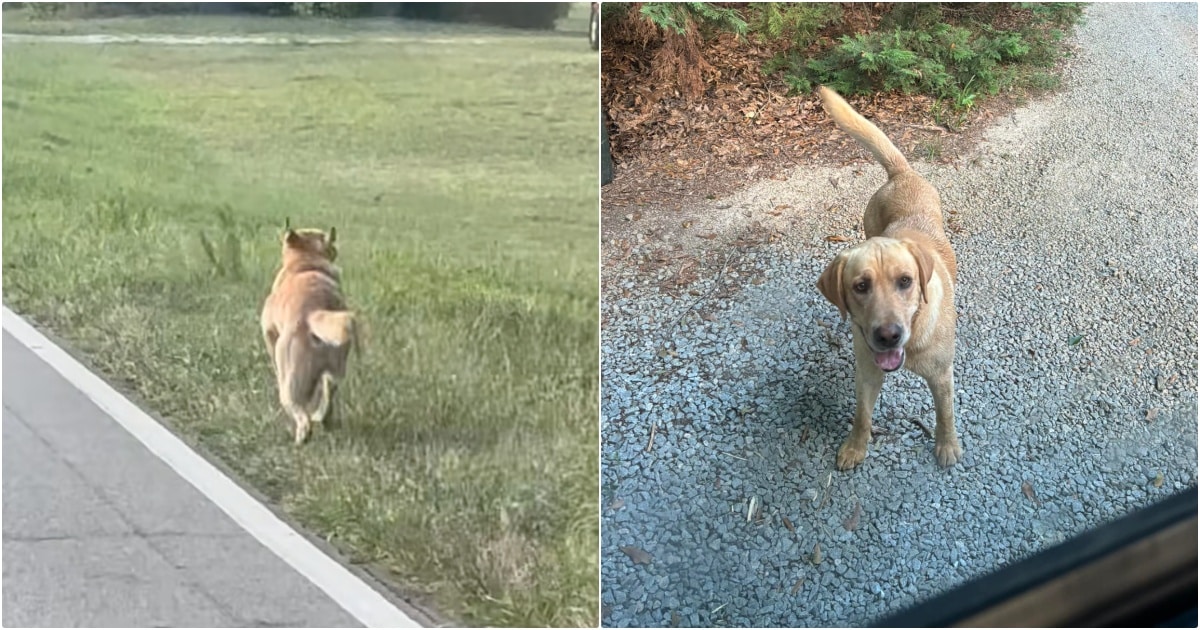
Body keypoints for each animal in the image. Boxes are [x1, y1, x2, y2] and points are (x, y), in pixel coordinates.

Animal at [259, 223, 355, 444]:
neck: (305, 263)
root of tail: (315, 314)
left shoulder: (269, 333)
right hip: (335, 367)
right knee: (329, 390)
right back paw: (324, 418)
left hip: (291, 382)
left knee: (299, 411)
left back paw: (303, 434)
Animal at [811, 85, 960, 465]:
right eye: (860, 286)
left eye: (905, 281)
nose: (888, 335)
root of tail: (900, 173)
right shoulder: (866, 372)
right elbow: (862, 414)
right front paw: (855, 446)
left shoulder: (942, 375)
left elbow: (945, 413)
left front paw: (947, 445)